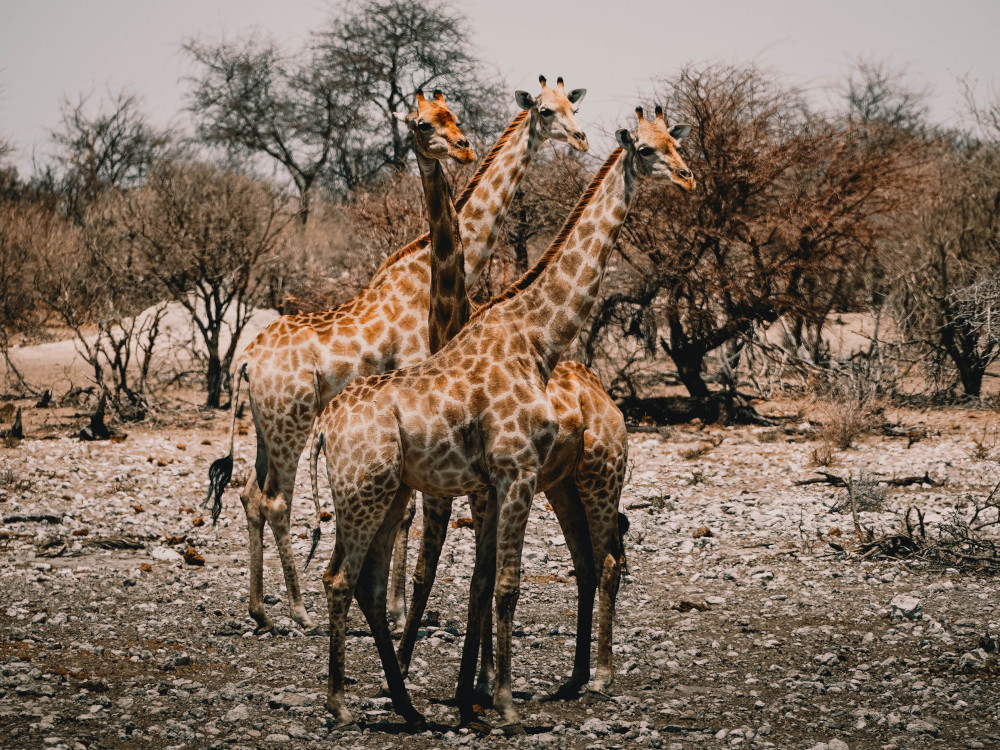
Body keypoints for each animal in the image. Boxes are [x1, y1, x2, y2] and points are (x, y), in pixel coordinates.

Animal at [223, 76, 588, 636]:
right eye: (546, 112)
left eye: (572, 107)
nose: (464, 148)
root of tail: (245, 360)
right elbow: (414, 512)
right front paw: (396, 611)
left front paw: (394, 609)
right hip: (292, 422)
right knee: (277, 499)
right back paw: (300, 611)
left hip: (266, 426)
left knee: (248, 493)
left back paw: (261, 609)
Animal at [312, 107, 696, 736]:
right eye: (644, 149)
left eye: (674, 142)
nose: (687, 178)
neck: (538, 339)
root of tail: (323, 427)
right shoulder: (513, 474)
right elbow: (507, 586)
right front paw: (506, 705)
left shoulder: (495, 483)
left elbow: (484, 580)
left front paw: (475, 697)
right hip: (374, 493)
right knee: (342, 578)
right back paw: (346, 704)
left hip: (402, 493)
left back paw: (412, 705)